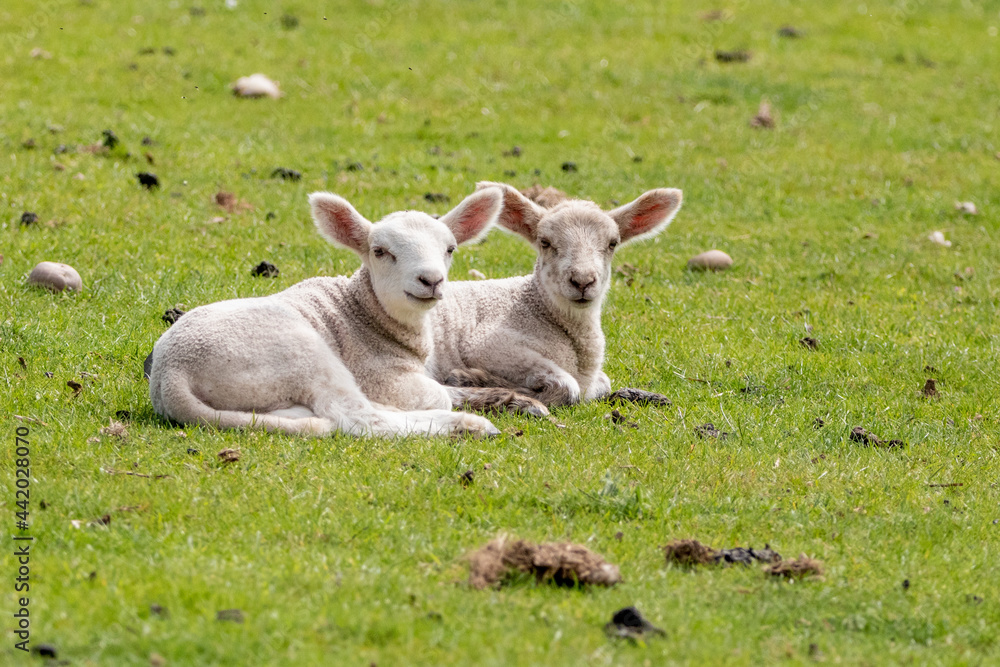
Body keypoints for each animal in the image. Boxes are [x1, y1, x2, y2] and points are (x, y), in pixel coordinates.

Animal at [146, 188, 508, 438]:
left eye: (450, 249)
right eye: (380, 252)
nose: (431, 280)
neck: (364, 313)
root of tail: (171, 376)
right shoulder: (382, 376)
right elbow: (436, 394)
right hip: (300, 354)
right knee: (358, 417)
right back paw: (468, 425)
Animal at [426, 180, 684, 404]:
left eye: (613, 243)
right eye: (545, 242)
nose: (582, 281)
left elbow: (603, 383)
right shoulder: (486, 344)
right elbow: (568, 387)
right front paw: (472, 379)